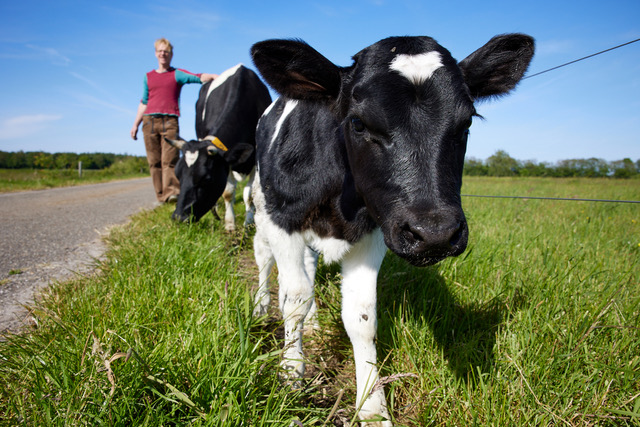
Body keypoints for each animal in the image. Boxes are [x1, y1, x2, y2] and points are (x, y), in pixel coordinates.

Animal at [168, 63, 270, 229]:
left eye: (207, 179)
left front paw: (248, 222)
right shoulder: (224, 161)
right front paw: (230, 224)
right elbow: (227, 192)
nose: (179, 217)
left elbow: (249, 194)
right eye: (178, 175)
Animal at [250, 35, 536, 426]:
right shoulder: (283, 219)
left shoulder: (374, 232)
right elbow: (294, 298)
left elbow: (362, 317)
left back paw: (313, 326)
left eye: (466, 124)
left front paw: (372, 407)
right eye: (358, 123)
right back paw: (260, 308)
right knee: (265, 259)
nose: (435, 233)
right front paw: (291, 372)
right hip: (262, 207)